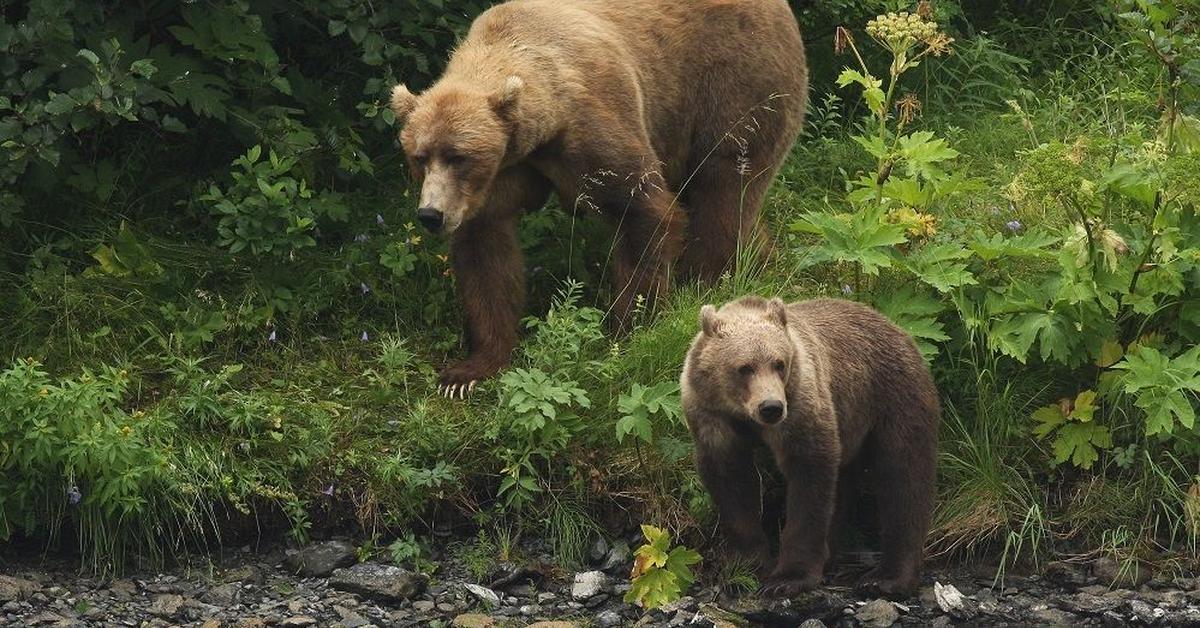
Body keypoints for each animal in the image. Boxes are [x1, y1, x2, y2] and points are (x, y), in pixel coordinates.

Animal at [388, 0, 811, 396]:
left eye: (458, 156)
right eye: (419, 156)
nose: (431, 214)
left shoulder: (592, 125)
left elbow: (642, 211)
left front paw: (627, 329)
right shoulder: (501, 175)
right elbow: (486, 255)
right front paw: (469, 371)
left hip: (735, 82)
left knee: (724, 184)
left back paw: (712, 285)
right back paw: (759, 264)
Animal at [686, 295, 936, 600]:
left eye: (779, 363)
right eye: (744, 367)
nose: (771, 407)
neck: (743, 416)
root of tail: (897, 328)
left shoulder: (800, 404)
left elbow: (809, 478)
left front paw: (787, 578)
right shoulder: (711, 415)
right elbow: (731, 483)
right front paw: (746, 566)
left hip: (893, 397)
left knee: (903, 477)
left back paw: (886, 578)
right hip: (850, 421)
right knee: (845, 483)